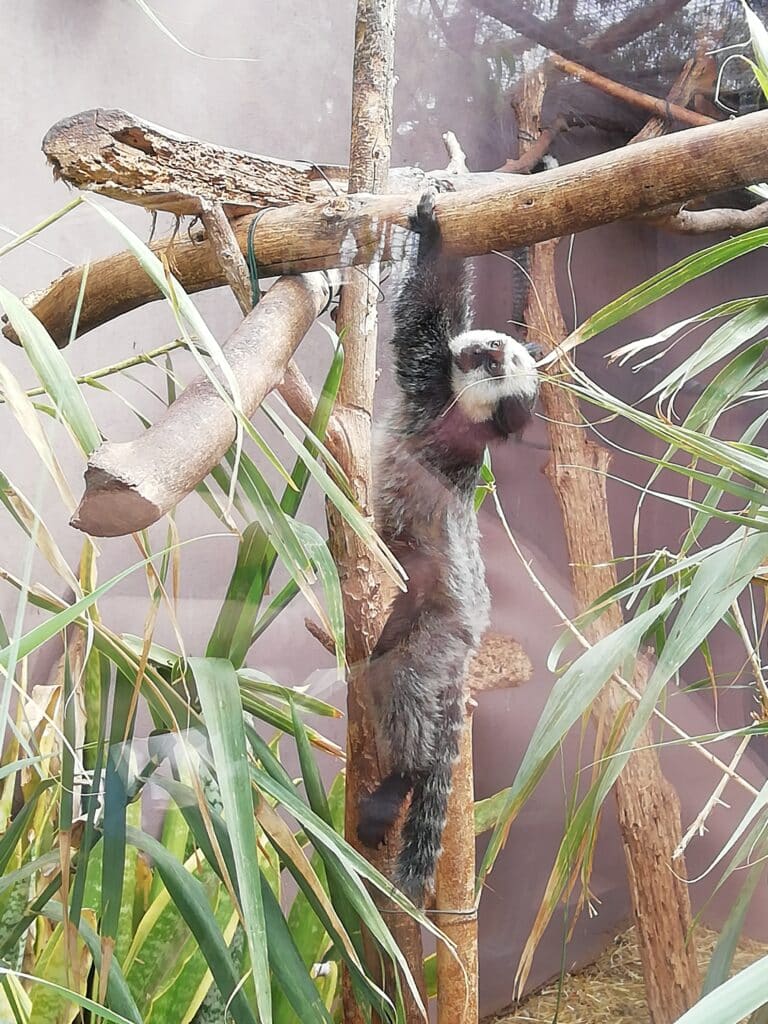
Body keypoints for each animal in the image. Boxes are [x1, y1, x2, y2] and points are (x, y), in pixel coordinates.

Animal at [356, 190, 540, 904]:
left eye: (495, 363)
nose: (483, 346)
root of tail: (472, 633)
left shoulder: (428, 384)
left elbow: (420, 321)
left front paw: (435, 234)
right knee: (386, 669)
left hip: (441, 633)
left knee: (408, 684)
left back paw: (399, 784)